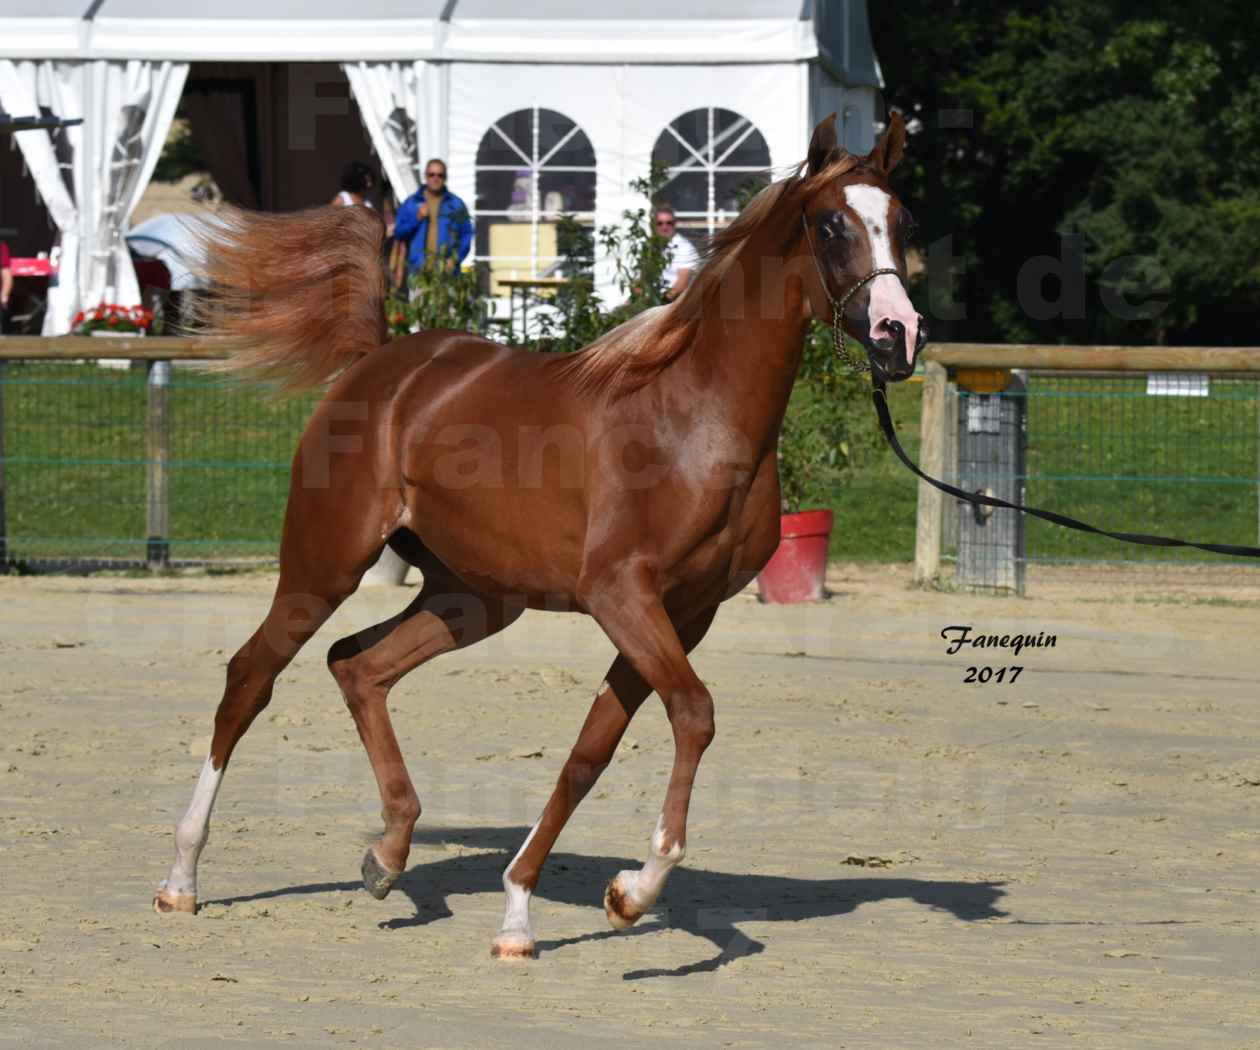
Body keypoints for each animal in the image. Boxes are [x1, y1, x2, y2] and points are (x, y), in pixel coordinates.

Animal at [154, 114, 927, 957]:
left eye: (900, 219)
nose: (899, 334)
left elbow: (591, 751)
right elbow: (693, 714)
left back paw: (387, 856)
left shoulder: (684, 612)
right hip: (324, 563)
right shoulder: (622, 594)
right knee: (251, 676)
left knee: (357, 666)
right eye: (831, 224)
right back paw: (182, 878)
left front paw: (522, 915)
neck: (693, 418)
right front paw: (635, 891)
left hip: (472, 599)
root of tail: (379, 363)